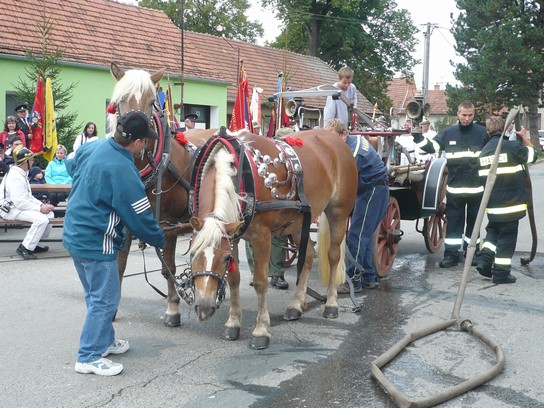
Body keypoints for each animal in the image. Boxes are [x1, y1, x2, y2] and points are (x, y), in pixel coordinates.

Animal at [107, 62, 197, 326]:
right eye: (121, 100)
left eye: (150, 102)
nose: (129, 133)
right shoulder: (126, 221)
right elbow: (120, 264)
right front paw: (112, 309)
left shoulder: (168, 223)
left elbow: (168, 267)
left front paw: (173, 309)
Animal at [187, 130, 356, 348]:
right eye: (192, 254)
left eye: (224, 258)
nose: (204, 308)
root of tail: (335, 138)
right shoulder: (234, 235)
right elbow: (234, 279)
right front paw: (233, 323)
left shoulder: (262, 236)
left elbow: (260, 282)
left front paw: (261, 330)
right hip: (300, 222)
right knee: (308, 256)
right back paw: (296, 304)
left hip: (338, 212)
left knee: (333, 256)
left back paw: (331, 304)